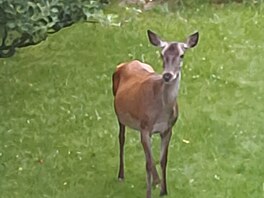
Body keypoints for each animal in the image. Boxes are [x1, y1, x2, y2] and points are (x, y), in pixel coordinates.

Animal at [111, 29, 198, 198]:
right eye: (161, 54)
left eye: (182, 55)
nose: (167, 75)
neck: (161, 112)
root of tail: (126, 63)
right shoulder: (145, 127)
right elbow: (149, 162)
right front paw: (149, 193)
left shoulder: (168, 129)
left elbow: (162, 160)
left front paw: (164, 190)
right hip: (120, 114)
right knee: (122, 139)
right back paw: (121, 175)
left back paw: (156, 181)